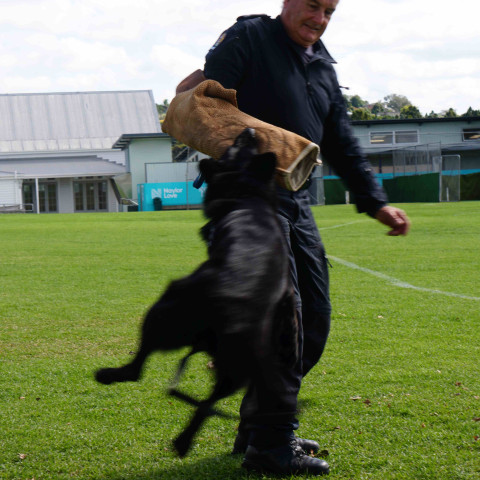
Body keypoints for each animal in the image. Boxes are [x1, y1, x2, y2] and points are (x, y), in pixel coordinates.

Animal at [94, 128, 296, 458]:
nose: (251, 130)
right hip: (235, 367)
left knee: (138, 367)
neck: (248, 196)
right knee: (207, 404)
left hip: (164, 309)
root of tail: (230, 312)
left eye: (237, 146)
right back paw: (183, 441)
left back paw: (108, 375)